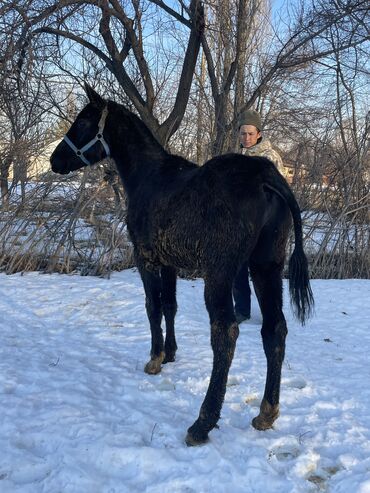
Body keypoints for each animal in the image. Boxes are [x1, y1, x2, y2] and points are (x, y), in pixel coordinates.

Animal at [50, 82, 314, 444]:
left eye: (83, 122)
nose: (54, 160)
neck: (148, 177)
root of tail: (267, 177)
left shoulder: (145, 258)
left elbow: (153, 306)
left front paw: (155, 358)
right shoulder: (170, 263)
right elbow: (170, 306)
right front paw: (171, 352)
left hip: (220, 273)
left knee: (225, 333)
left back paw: (203, 421)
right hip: (266, 267)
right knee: (275, 329)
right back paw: (267, 412)